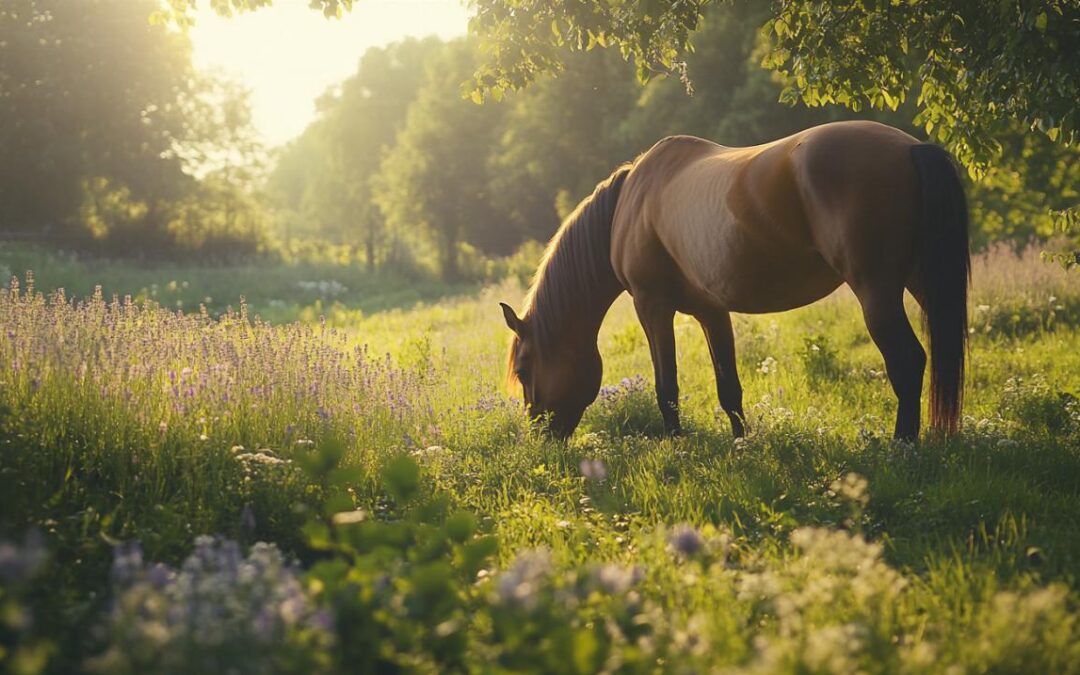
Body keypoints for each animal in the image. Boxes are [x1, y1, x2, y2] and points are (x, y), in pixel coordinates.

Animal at [498, 119, 972, 440]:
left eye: (524, 368)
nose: (540, 435)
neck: (631, 204)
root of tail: (911, 148)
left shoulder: (652, 307)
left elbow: (667, 387)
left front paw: (677, 446)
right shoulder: (711, 311)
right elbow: (730, 388)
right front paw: (742, 445)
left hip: (877, 291)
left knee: (907, 361)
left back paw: (902, 446)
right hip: (921, 282)